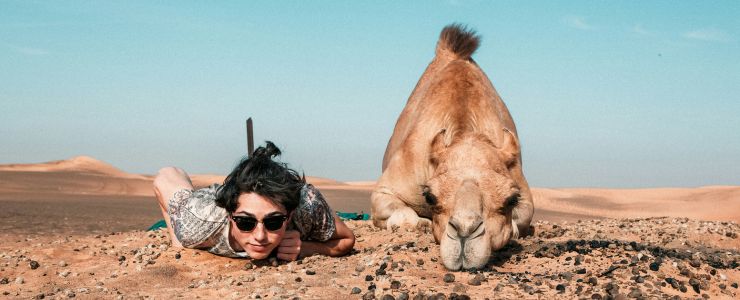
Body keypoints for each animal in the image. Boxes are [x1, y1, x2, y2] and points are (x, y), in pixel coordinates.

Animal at [372, 24, 536, 270]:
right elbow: (403, 215)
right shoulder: (388, 186)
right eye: (430, 196)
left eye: (511, 199)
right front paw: (418, 224)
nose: (465, 232)